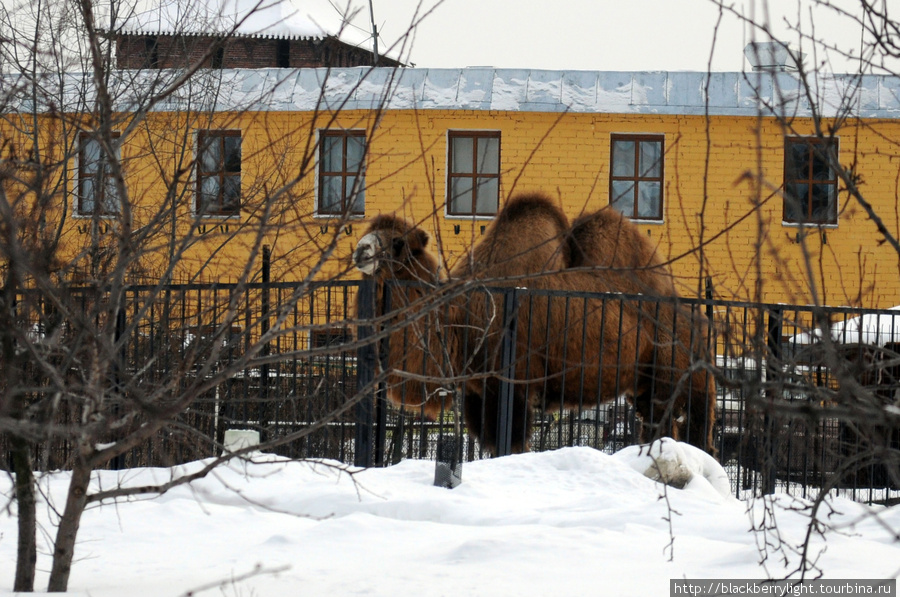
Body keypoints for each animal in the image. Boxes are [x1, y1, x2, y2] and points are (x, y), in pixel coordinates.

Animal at [352, 193, 716, 454]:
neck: (463, 317)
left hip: (677, 378)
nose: (360, 250)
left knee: (692, 432)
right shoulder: (477, 391)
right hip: (643, 387)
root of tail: (698, 320)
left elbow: (511, 445)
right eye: (368, 231)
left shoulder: (513, 383)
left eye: (398, 242)